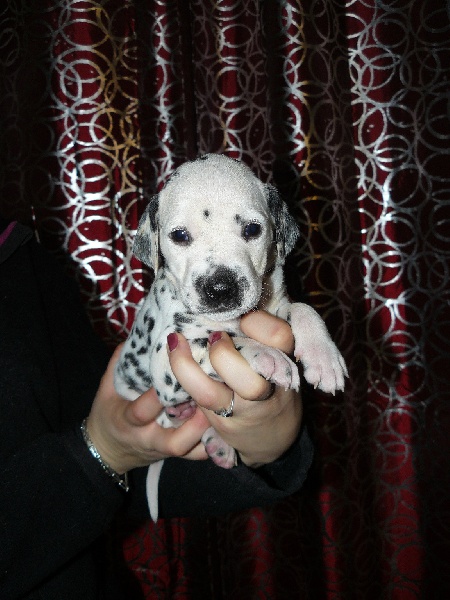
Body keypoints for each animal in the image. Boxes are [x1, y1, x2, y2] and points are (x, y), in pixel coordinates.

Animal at [115, 154, 347, 517]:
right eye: (179, 235)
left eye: (252, 229)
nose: (221, 288)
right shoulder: (167, 358)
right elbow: (223, 341)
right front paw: (267, 355)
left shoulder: (274, 307)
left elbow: (302, 309)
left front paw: (323, 356)